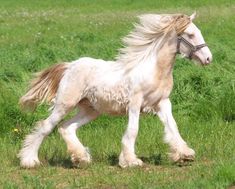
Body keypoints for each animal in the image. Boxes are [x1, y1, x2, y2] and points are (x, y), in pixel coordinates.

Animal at [18, 12, 213, 168]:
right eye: (190, 34)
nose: (208, 58)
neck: (154, 71)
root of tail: (70, 66)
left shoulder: (162, 103)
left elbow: (173, 126)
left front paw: (184, 155)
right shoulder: (135, 103)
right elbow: (133, 130)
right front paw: (131, 161)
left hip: (90, 110)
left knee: (66, 127)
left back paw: (81, 158)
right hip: (64, 104)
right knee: (46, 126)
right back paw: (29, 161)